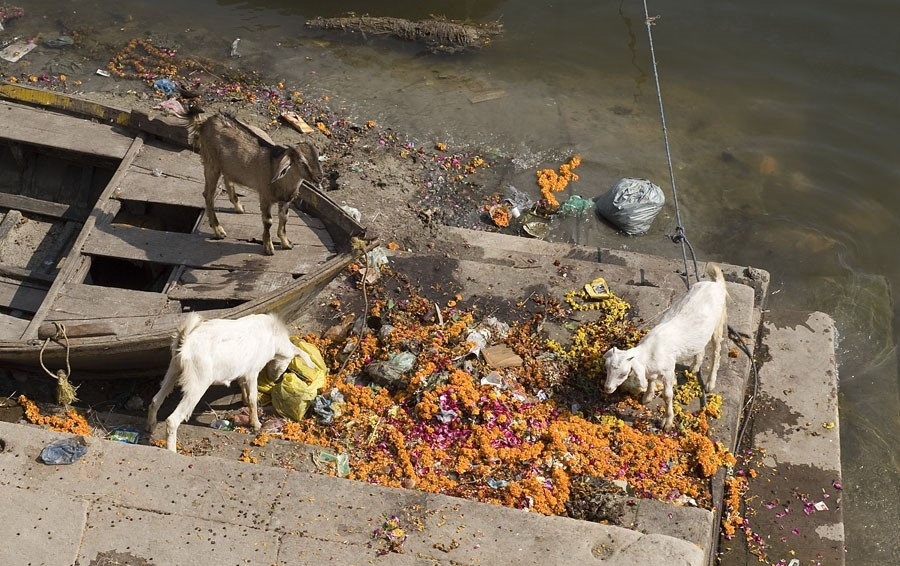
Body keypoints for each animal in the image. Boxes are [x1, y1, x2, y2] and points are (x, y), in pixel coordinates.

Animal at [146, 312, 314, 454]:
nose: (273, 379)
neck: (273, 335)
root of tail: (185, 342)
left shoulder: (242, 370)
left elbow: (242, 386)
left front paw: (244, 401)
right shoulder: (252, 371)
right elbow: (253, 398)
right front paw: (256, 424)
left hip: (173, 369)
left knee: (155, 399)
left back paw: (150, 426)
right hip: (198, 381)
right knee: (172, 419)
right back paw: (172, 451)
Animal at [185, 106, 324, 255]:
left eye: (317, 158)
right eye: (302, 162)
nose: (319, 177)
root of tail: (205, 122)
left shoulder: (286, 200)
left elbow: (284, 218)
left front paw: (286, 243)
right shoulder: (265, 196)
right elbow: (268, 221)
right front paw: (268, 247)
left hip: (227, 165)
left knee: (228, 180)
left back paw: (239, 207)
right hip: (211, 163)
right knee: (208, 195)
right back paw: (218, 230)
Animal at [600, 264, 728, 432]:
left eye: (623, 374)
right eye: (607, 368)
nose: (607, 388)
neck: (649, 352)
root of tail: (715, 284)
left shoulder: (668, 370)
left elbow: (667, 395)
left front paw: (667, 421)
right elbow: (651, 380)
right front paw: (647, 397)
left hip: (719, 324)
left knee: (716, 352)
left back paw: (709, 383)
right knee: (701, 348)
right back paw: (695, 366)